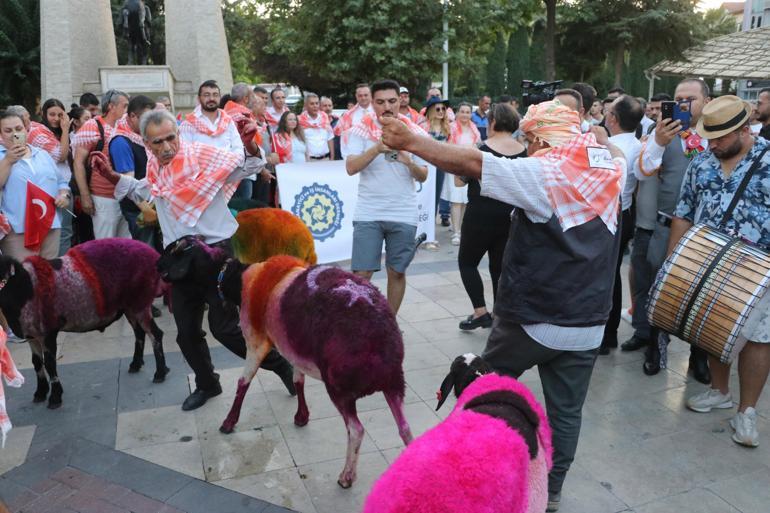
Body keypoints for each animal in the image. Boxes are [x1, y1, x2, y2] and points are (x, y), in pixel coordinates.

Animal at [0, 238, 168, 410]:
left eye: (2, 280)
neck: (24, 289)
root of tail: (152, 254)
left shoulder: (48, 332)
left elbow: (50, 364)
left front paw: (55, 397)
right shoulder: (32, 335)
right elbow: (37, 362)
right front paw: (40, 393)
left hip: (140, 302)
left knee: (155, 334)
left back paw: (160, 373)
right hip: (130, 306)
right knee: (139, 333)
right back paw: (135, 364)